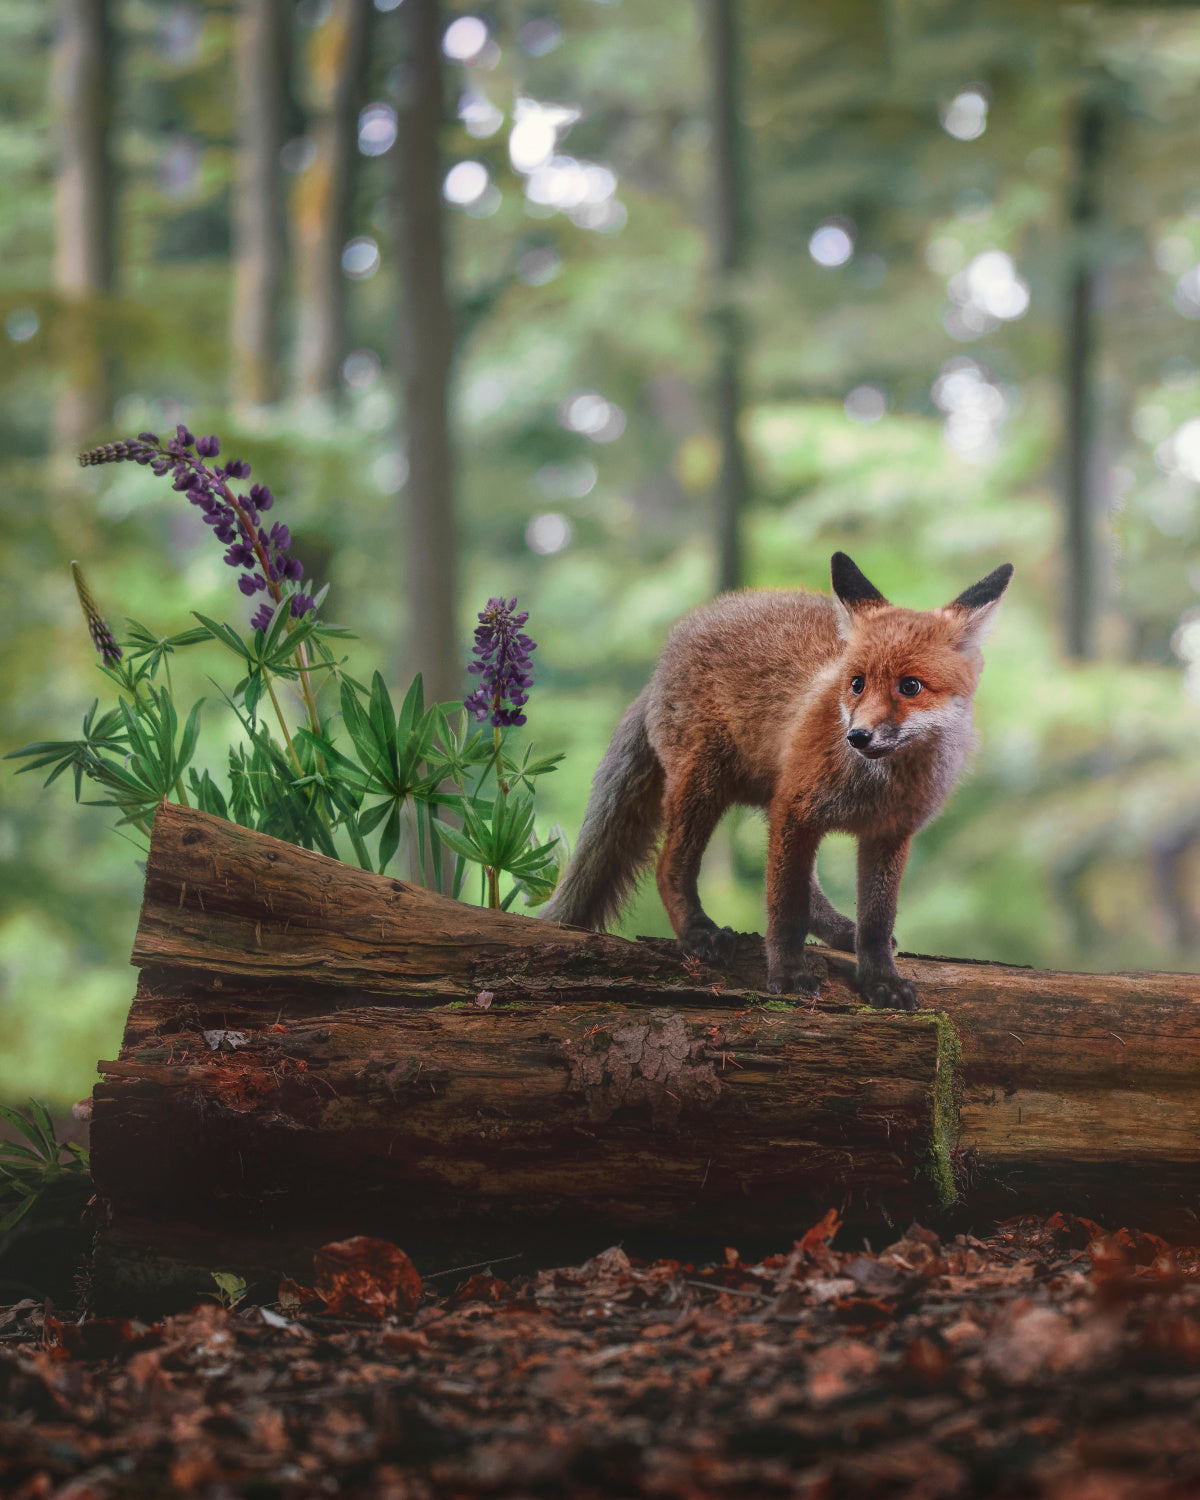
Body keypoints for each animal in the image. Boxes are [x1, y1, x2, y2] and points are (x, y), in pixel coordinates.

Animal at [541, 553, 1013, 1011]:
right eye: (857, 684)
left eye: (910, 686)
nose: (857, 736)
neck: (878, 787)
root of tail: (665, 657)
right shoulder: (797, 809)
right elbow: (786, 909)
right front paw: (787, 973)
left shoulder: (889, 833)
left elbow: (877, 923)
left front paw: (881, 979)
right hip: (705, 785)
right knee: (668, 865)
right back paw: (696, 932)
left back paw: (841, 931)